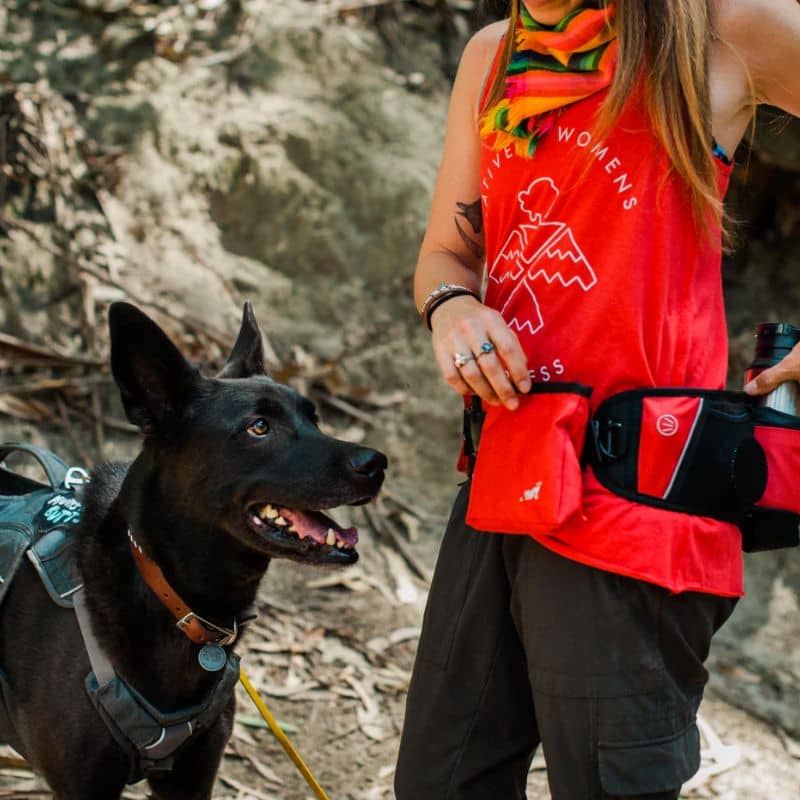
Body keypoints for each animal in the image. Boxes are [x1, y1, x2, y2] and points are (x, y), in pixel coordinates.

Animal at [0, 302, 388, 800]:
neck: (169, 594)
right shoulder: (82, 786)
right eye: (258, 427)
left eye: (315, 418)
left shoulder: (193, 774)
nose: (376, 464)